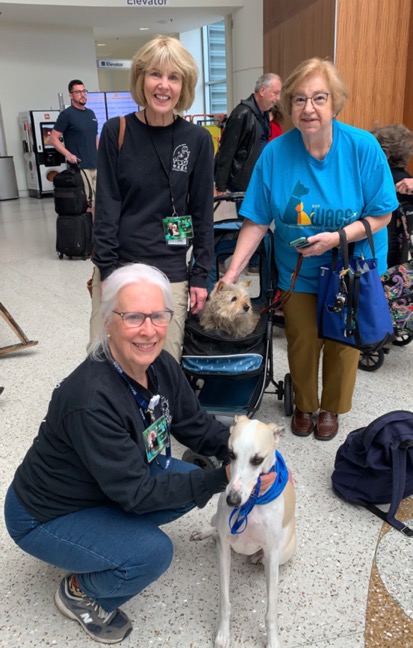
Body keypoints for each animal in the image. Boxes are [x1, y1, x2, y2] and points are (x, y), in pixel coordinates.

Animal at [192, 416, 294, 648]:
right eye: (230, 454)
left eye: (257, 460)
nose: (232, 500)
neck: (252, 502)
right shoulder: (224, 550)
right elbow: (225, 600)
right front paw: (223, 634)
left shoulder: (272, 554)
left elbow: (271, 611)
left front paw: (273, 641)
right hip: (217, 522)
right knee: (215, 530)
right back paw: (206, 532)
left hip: (283, 552)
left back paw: (256, 557)